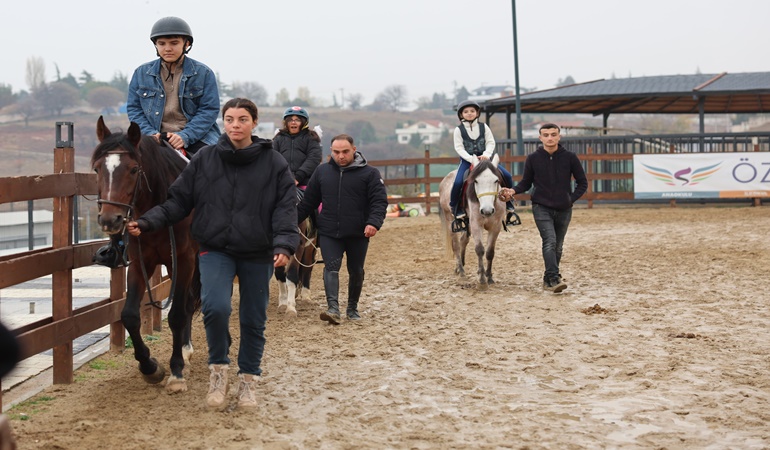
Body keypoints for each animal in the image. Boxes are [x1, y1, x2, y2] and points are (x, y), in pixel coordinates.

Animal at [90, 117, 201, 394]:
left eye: (133, 169)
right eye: (97, 169)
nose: (110, 220)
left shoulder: (184, 260)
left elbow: (177, 314)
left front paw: (176, 371)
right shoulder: (142, 262)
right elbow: (129, 315)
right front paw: (150, 367)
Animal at [436, 153, 508, 284]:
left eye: (496, 180)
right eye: (476, 181)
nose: (487, 210)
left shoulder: (496, 226)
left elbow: (490, 252)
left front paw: (489, 276)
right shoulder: (476, 224)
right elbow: (479, 249)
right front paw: (482, 279)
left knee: (463, 240)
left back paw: (459, 267)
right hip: (450, 219)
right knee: (456, 245)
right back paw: (461, 270)